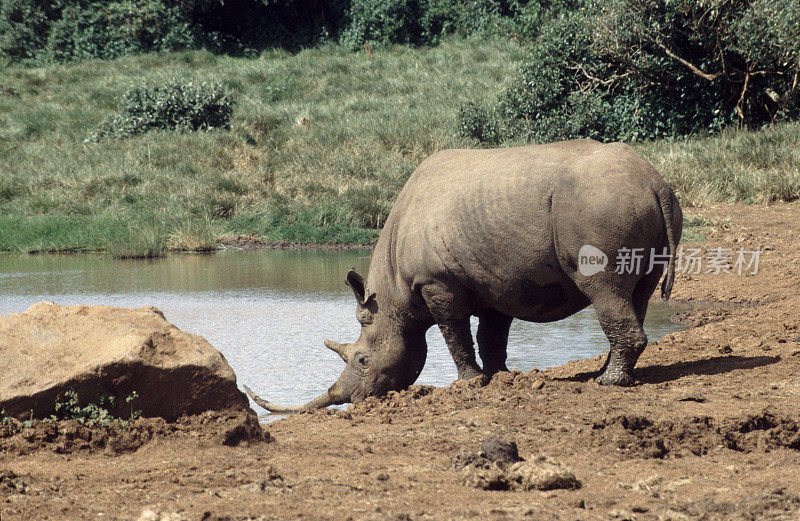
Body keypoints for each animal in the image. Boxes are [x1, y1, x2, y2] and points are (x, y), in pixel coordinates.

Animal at [244, 138, 680, 410]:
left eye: (364, 360)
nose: (356, 400)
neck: (392, 298)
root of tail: (654, 180)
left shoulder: (436, 281)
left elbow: (453, 331)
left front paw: (466, 383)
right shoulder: (498, 280)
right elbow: (491, 335)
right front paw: (500, 377)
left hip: (600, 204)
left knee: (604, 289)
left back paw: (606, 384)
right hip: (630, 201)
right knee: (637, 293)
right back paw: (611, 374)